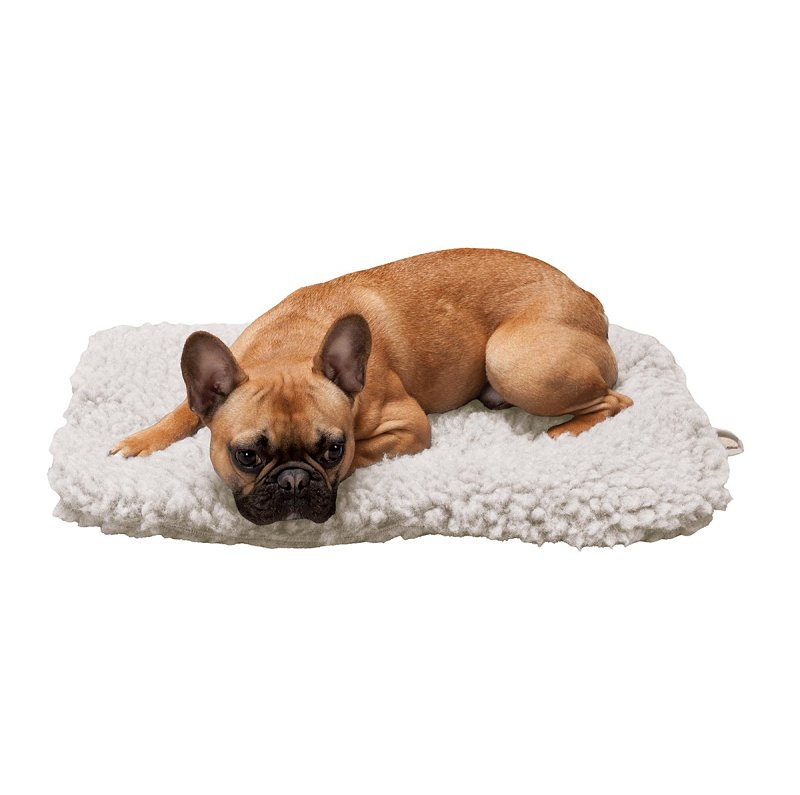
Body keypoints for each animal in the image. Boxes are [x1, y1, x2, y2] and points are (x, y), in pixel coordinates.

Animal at [110, 248, 632, 525]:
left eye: (333, 449)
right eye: (247, 456)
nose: (294, 481)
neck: (288, 349)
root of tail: (587, 297)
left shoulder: (410, 425)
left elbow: (367, 450)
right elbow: (183, 411)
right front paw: (140, 442)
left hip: (513, 360)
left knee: (616, 398)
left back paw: (564, 431)